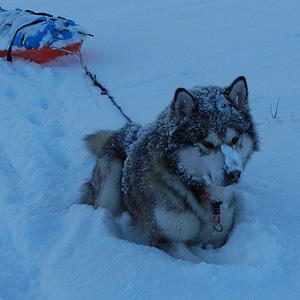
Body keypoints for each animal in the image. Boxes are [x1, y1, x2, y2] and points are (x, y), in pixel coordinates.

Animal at [81, 77, 258, 262]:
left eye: (235, 139)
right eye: (207, 143)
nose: (234, 174)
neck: (195, 189)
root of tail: (129, 129)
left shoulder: (218, 236)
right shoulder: (164, 238)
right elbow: (197, 261)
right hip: (109, 187)